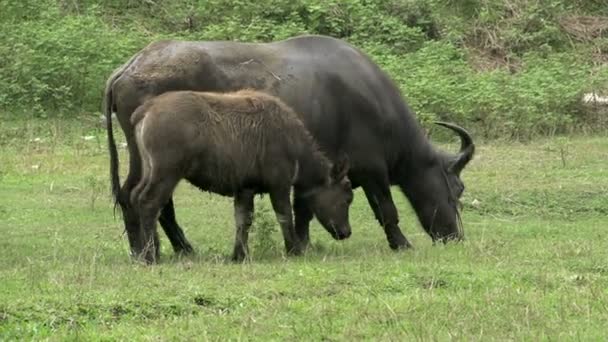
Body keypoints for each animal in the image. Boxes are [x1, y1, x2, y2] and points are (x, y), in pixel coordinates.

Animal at [104, 33, 476, 255]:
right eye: (457, 189)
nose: (455, 236)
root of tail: (128, 68)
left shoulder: (308, 174)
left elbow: (303, 211)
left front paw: (302, 244)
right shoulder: (372, 171)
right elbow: (387, 210)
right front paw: (402, 244)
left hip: (141, 158)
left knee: (130, 195)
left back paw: (145, 249)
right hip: (163, 162)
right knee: (155, 201)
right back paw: (172, 250)